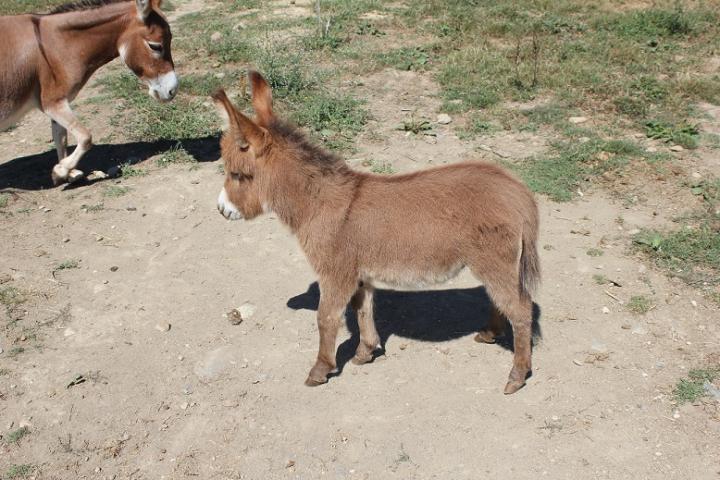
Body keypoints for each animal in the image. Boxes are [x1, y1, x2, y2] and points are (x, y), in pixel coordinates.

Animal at [0, 0, 179, 185]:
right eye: (155, 46)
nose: (172, 90)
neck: (54, 46)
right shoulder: (52, 102)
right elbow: (86, 137)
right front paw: (61, 170)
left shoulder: (58, 100)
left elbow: (61, 137)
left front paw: (67, 172)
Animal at [214, 71, 540, 394]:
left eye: (238, 175)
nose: (221, 210)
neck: (317, 204)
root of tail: (518, 190)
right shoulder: (360, 275)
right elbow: (363, 311)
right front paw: (365, 352)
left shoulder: (336, 274)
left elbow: (325, 318)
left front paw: (320, 369)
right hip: (493, 264)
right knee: (502, 300)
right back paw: (489, 333)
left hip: (494, 261)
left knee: (521, 309)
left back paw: (517, 375)